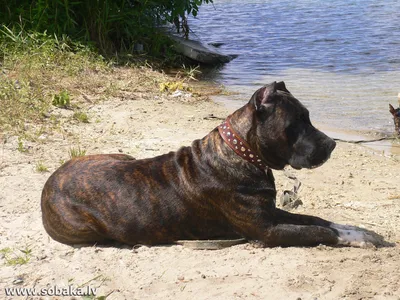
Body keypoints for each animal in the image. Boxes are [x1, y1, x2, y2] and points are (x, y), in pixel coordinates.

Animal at [42, 81, 380, 247]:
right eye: (297, 122)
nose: (332, 144)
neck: (242, 153)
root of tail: (49, 184)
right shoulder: (268, 230)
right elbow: (319, 232)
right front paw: (358, 239)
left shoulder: (272, 212)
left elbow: (319, 220)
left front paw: (359, 230)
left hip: (118, 155)